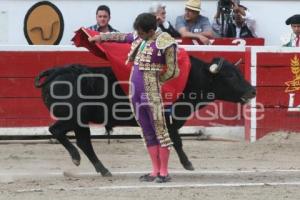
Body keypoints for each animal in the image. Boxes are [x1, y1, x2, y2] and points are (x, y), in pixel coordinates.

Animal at [35, 55, 255, 176]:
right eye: (230, 75)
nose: (252, 90)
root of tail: (56, 72)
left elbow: (170, 142)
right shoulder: (168, 121)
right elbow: (176, 142)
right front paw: (188, 164)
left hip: (81, 122)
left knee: (84, 142)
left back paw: (103, 169)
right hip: (73, 118)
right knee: (56, 130)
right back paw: (76, 158)